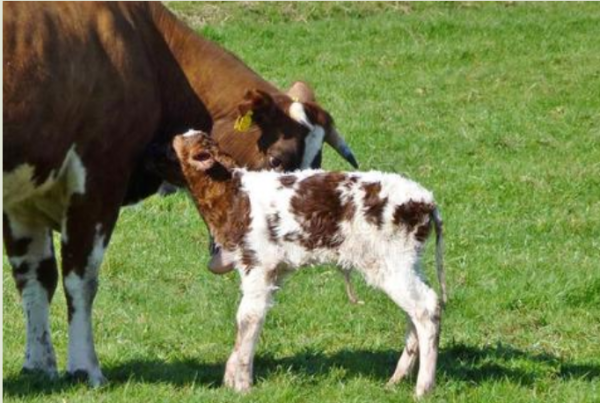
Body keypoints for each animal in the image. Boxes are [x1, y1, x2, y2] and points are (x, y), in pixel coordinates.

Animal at [2, 3, 356, 388]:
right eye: (278, 159)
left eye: (314, 165)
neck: (149, 47)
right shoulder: (98, 177)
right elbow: (80, 278)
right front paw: (85, 368)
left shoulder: (25, 197)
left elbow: (36, 278)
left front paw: (39, 365)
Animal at [172, 130, 446, 398]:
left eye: (177, 144)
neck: (234, 195)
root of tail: (426, 200)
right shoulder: (273, 270)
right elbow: (252, 317)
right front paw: (231, 378)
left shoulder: (258, 263)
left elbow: (248, 317)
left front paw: (241, 384)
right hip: (407, 263)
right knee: (415, 310)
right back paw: (396, 380)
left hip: (392, 262)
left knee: (426, 307)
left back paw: (423, 387)